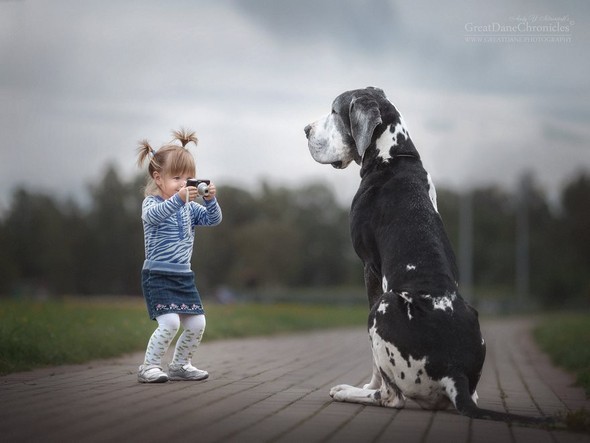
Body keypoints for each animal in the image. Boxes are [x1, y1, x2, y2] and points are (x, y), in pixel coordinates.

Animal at [308, 87, 552, 426]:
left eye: (334, 111)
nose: (306, 130)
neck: (393, 157)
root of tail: (454, 372)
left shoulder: (370, 268)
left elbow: (375, 363)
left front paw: (366, 385)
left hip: (383, 307)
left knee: (392, 396)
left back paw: (350, 391)